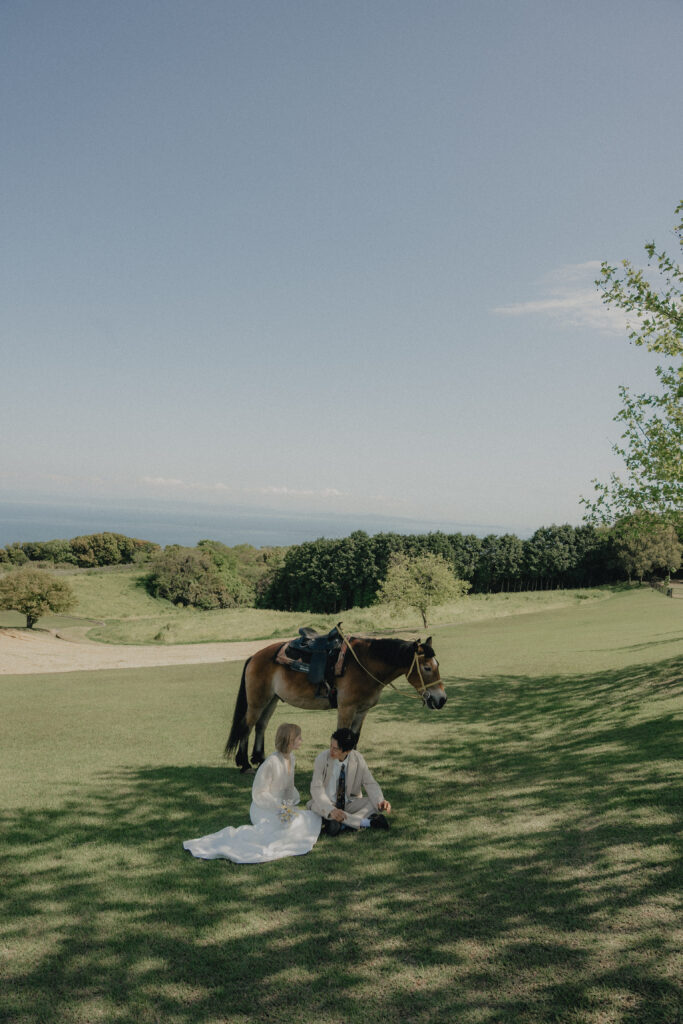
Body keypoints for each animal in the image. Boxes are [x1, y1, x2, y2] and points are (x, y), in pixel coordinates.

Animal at [224, 633, 446, 772]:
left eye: (438, 665)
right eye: (427, 668)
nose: (441, 699)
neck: (365, 664)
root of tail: (254, 657)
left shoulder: (361, 711)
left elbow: (353, 740)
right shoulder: (346, 709)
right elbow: (342, 737)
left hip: (272, 700)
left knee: (261, 725)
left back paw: (259, 758)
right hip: (257, 701)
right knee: (247, 726)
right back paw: (244, 764)